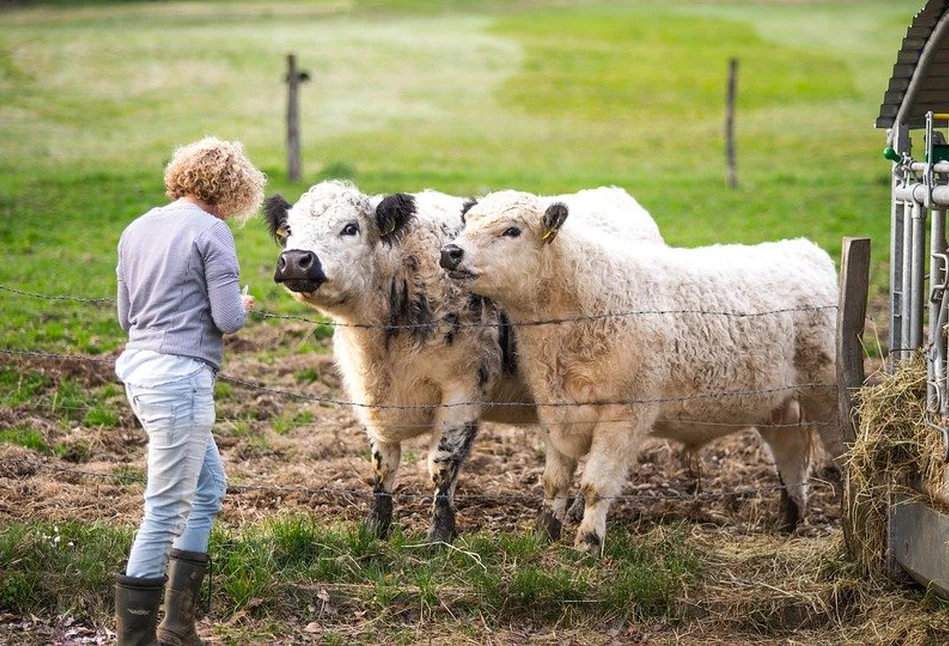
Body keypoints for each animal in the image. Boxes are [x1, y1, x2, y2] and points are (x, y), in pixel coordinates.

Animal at [260, 180, 660, 544]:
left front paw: (440, 534)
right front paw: (376, 528)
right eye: (289, 230)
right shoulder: (369, 396)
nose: (296, 260)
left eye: (350, 227)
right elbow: (383, 463)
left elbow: (442, 464)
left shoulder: (462, 389)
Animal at [440, 191, 840, 552]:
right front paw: (543, 535)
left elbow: (595, 485)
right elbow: (554, 481)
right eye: (467, 223)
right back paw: (788, 522)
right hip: (775, 405)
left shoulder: (625, 414)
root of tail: (804, 249)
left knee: (836, 451)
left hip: (827, 394)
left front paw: (587, 544)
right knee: (790, 453)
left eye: (512, 230)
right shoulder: (553, 408)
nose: (450, 252)